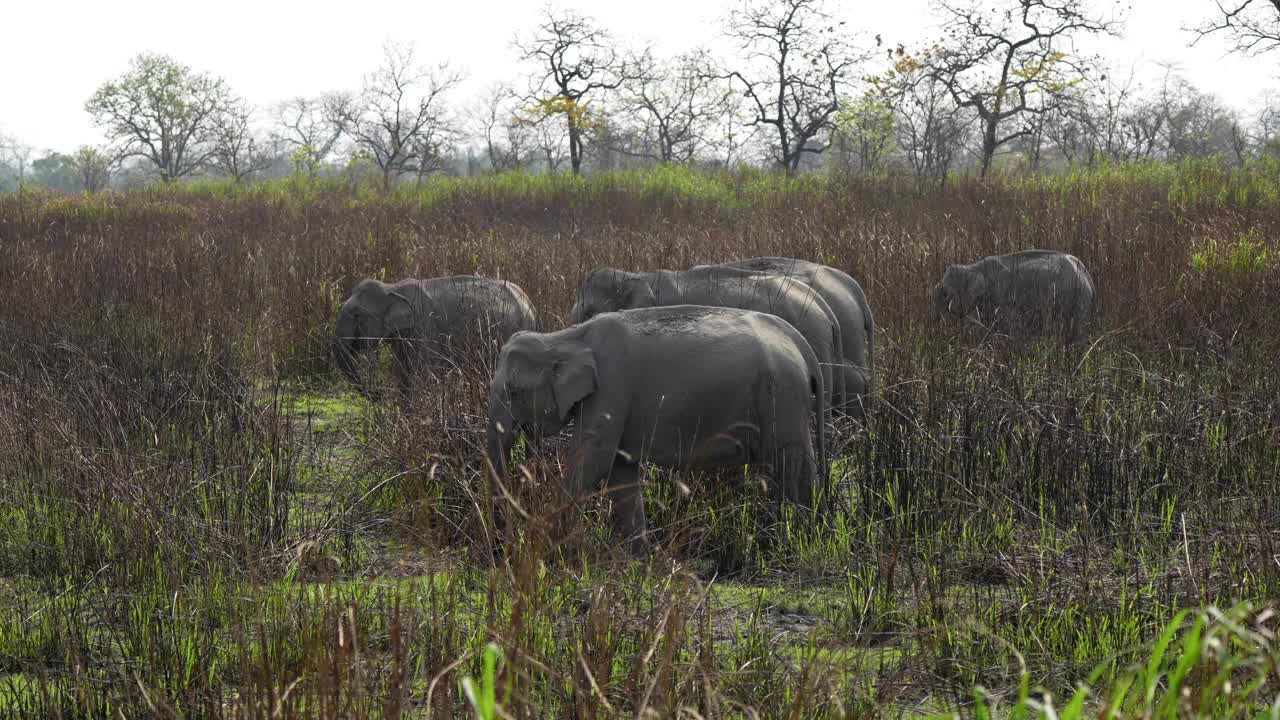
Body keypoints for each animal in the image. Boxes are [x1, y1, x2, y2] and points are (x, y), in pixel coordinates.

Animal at [332, 275, 537, 397]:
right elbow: (402, 372)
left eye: (357, 314)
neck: (393, 288)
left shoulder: (425, 327)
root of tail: (530, 305)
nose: (378, 395)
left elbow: (423, 373)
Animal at [481, 302, 829, 548]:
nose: (503, 543)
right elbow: (620, 472)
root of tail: (800, 344)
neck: (566, 337)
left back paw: (800, 540)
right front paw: (640, 558)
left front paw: (551, 547)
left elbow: (592, 461)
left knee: (793, 464)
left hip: (782, 396)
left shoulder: (611, 388)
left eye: (513, 391)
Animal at [931, 248, 1100, 340]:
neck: (974, 267)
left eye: (947, 292)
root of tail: (1088, 278)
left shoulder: (1002, 293)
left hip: (1079, 298)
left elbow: (1010, 321)